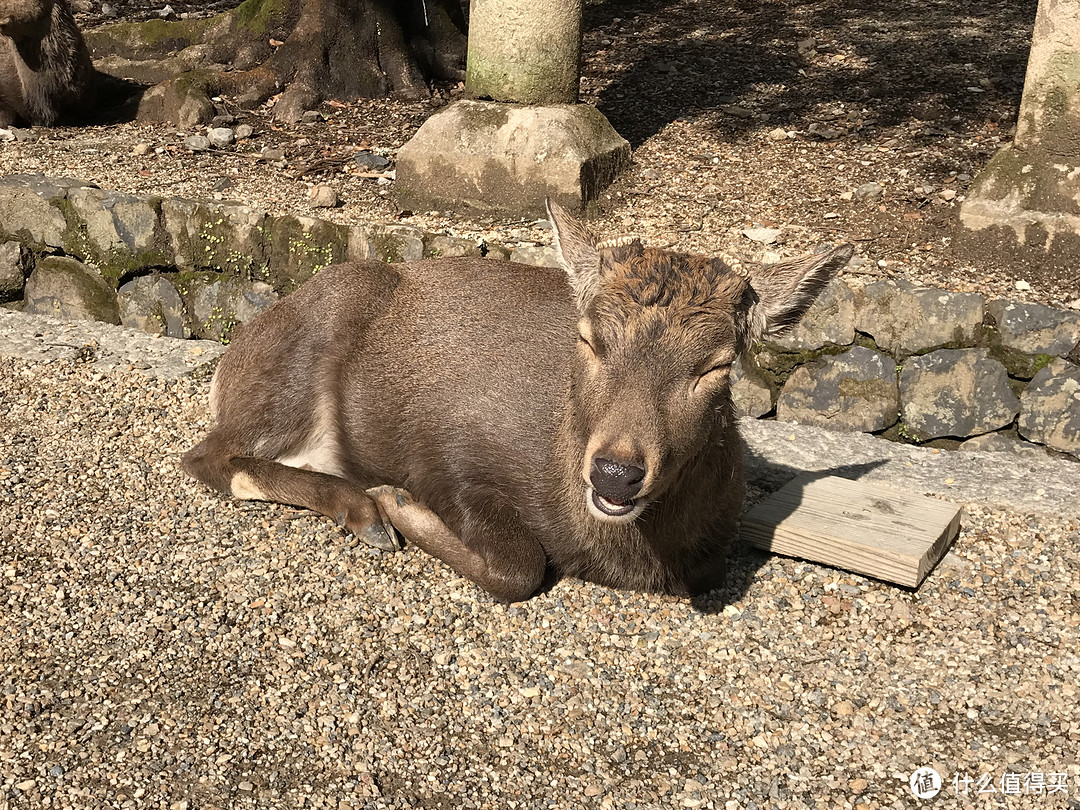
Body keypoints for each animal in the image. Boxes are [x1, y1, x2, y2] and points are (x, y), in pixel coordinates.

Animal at [181, 204, 851, 604]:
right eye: (589, 338)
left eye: (717, 365)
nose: (616, 472)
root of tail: (229, 361)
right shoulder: (444, 451)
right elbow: (520, 567)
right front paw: (396, 502)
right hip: (299, 356)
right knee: (207, 457)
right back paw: (363, 509)